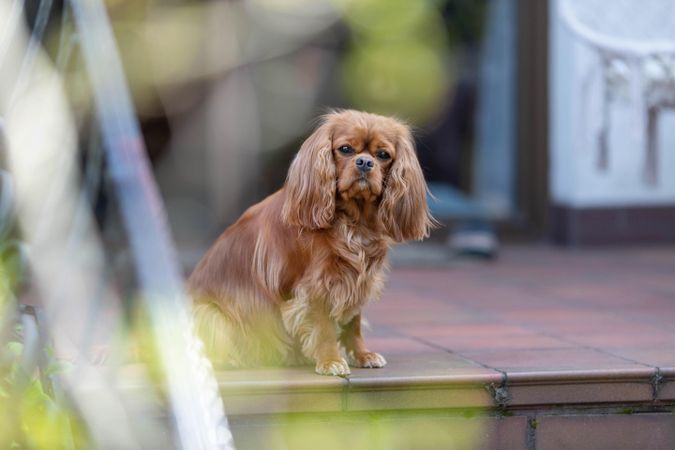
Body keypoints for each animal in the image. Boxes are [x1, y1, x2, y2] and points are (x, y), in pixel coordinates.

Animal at [189, 110, 434, 376]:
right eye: (345, 149)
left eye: (383, 155)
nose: (365, 162)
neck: (353, 221)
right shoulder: (316, 286)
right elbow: (324, 327)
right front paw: (331, 361)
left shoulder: (357, 280)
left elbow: (354, 323)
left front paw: (362, 355)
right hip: (211, 314)